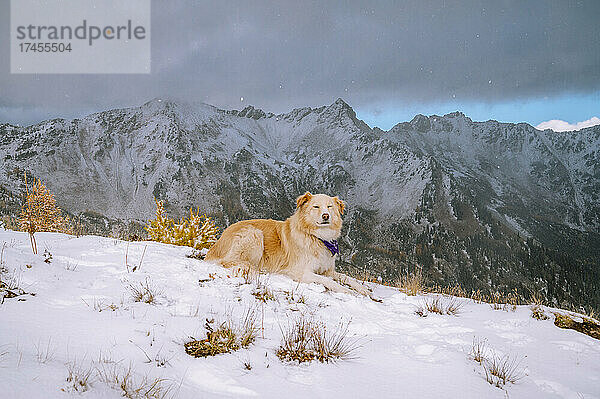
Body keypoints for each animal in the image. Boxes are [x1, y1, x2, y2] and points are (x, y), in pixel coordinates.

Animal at [205, 192, 370, 296]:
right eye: (316, 206)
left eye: (329, 207)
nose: (326, 216)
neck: (317, 237)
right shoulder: (300, 272)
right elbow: (329, 281)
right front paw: (347, 291)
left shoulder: (327, 270)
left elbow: (346, 278)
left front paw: (364, 290)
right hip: (254, 234)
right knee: (229, 261)